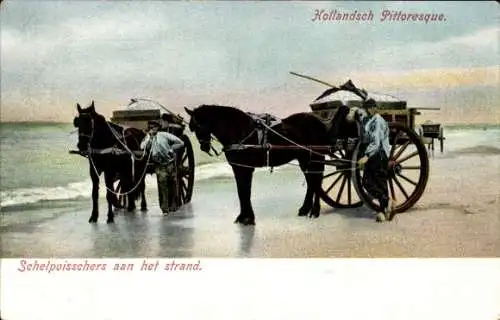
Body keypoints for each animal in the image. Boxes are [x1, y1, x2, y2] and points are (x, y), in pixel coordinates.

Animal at [186, 105, 338, 225]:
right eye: (193, 128)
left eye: (199, 125)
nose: (204, 147)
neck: (240, 130)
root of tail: (319, 122)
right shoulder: (238, 168)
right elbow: (241, 191)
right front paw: (243, 216)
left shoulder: (246, 169)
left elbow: (245, 191)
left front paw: (248, 218)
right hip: (304, 159)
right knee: (311, 181)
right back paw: (305, 209)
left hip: (315, 157)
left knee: (316, 181)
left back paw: (315, 210)